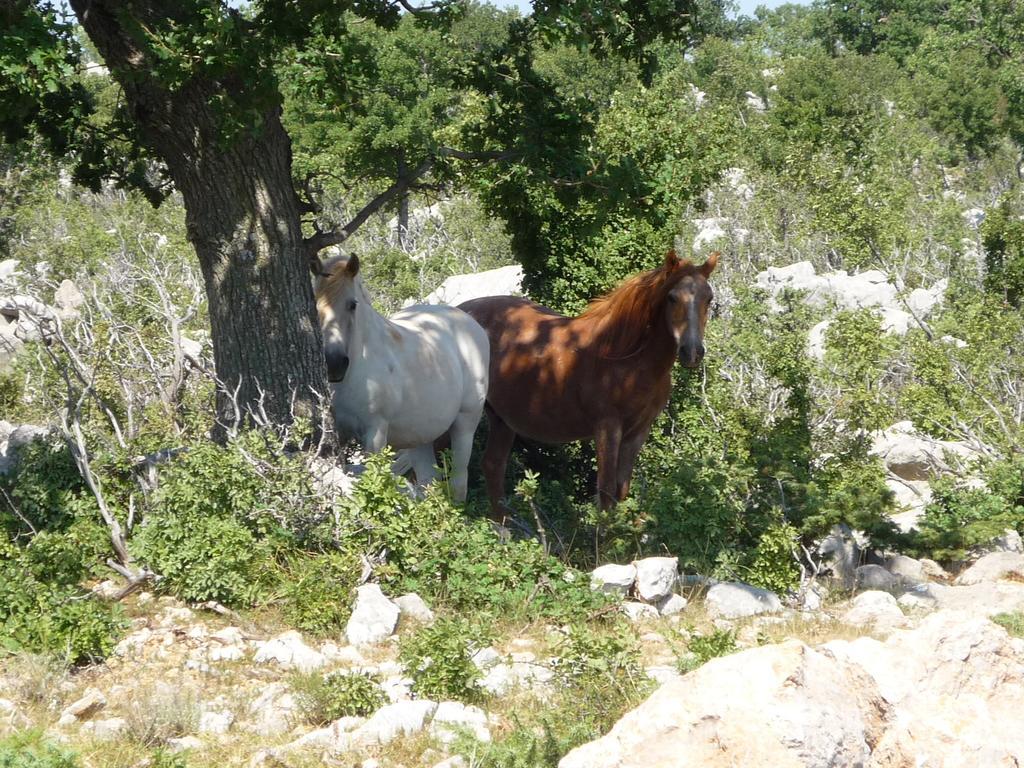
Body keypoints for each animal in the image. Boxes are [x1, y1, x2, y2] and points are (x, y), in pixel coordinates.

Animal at [313, 256, 489, 501]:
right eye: (315, 302)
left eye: (352, 304)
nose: (334, 363)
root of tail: (472, 324)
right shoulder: (338, 433)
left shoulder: (375, 432)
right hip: (420, 436)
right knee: (428, 483)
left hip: (465, 423)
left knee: (458, 483)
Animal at [460, 250, 716, 524]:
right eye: (672, 297)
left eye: (709, 299)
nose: (692, 352)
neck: (627, 358)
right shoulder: (607, 427)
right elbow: (605, 490)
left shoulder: (638, 432)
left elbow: (621, 489)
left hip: (502, 420)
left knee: (493, 465)